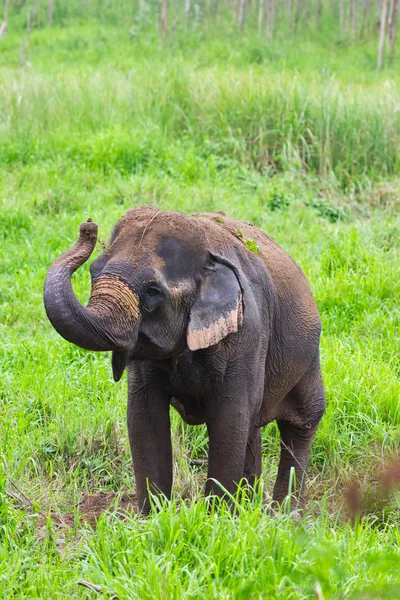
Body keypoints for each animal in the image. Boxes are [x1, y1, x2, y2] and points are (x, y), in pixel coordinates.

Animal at [43, 205, 324, 510]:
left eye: (154, 291)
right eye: (94, 271)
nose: (88, 226)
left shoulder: (247, 333)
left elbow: (229, 418)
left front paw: (216, 516)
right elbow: (143, 417)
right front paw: (153, 515)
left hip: (308, 356)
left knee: (302, 422)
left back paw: (284, 513)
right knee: (253, 428)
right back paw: (249, 508)